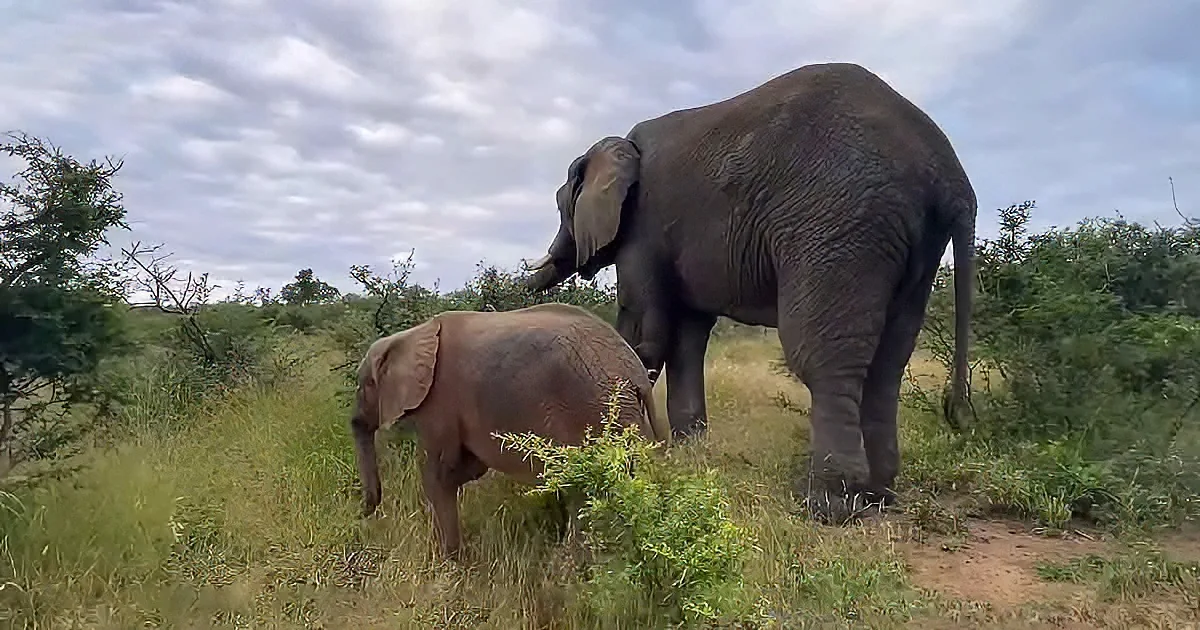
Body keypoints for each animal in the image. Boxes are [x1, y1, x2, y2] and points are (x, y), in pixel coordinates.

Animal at [349, 302, 670, 558]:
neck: (411, 335)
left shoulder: (439, 401)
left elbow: (438, 476)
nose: (363, 514)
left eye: (364, 385)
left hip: (595, 409)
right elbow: (466, 470)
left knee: (581, 490)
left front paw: (449, 563)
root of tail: (637, 373)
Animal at [523, 62, 975, 523]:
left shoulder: (642, 230)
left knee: (823, 359)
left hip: (843, 224)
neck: (618, 149)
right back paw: (880, 496)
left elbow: (645, 337)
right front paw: (689, 455)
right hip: (911, 242)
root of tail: (951, 176)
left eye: (561, 206)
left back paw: (829, 506)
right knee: (889, 362)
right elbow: (687, 339)